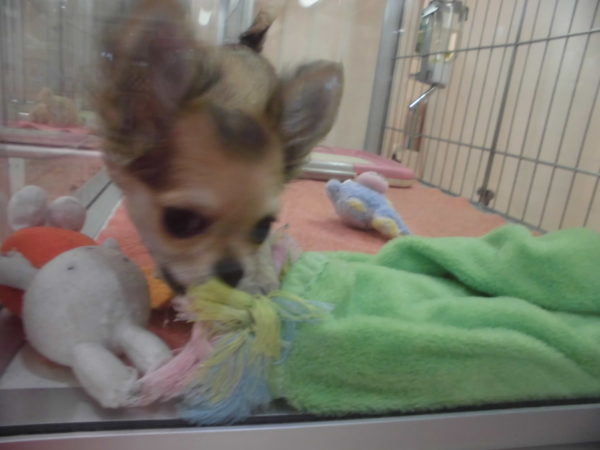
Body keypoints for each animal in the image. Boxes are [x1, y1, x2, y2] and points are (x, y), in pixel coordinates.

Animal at [96, 0, 343, 294]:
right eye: (180, 221)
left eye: (263, 228)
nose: (231, 271)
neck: (231, 100)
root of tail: (245, 44)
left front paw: (261, 274)